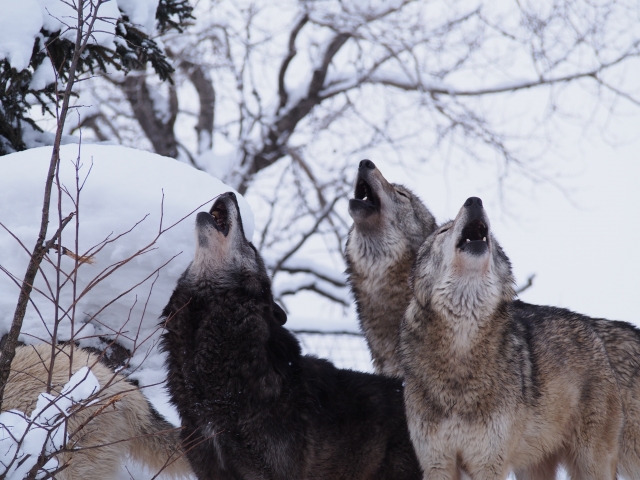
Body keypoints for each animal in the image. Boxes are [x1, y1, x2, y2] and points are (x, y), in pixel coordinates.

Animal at [400, 196, 624, 480]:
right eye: (443, 231)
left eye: (493, 238)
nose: (474, 201)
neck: (461, 353)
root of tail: (591, 324)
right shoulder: (437, 464)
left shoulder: (489, 463)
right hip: (532, 467)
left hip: (592, 463)